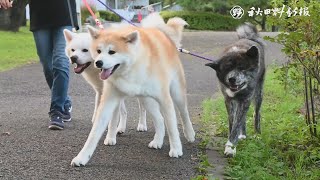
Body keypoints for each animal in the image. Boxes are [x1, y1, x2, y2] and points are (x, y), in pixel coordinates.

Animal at [70, 13, 195, 167]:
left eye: (112, 52)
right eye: (98, 51)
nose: (98, 63)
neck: (131, 68)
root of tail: (161, 33)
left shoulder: (165, 99)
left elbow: (172, 127)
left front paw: (176, 149)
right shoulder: (109, 100)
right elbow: (94, 133)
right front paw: (82, 157)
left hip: (176, 92)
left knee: (184, 113)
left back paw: (189, 134)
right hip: (146, 100)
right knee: (159, 119)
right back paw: (157, 141)